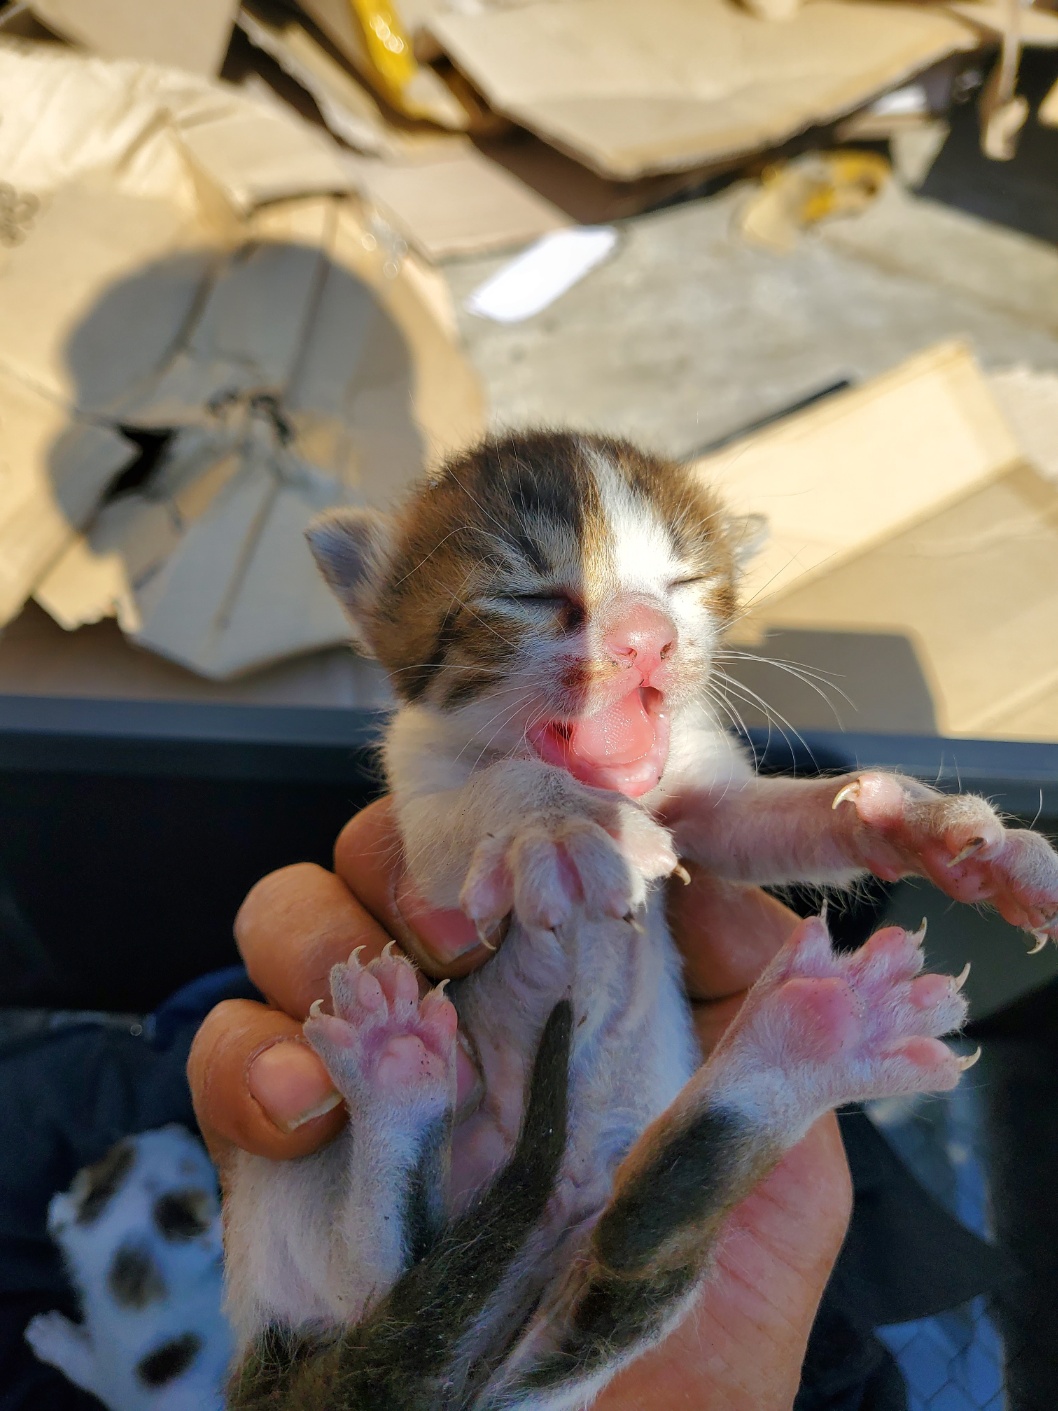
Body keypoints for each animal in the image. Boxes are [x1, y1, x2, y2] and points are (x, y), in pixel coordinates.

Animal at [224, 428, 1058, 1411]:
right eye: (531, 593)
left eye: (683, 583)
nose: (645, 636)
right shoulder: (422, 814)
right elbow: (493, 800)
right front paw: (560, 823)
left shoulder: (702, 798)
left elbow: (782, 821)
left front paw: (926, 825)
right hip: (290, 1202)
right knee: (380, 1278)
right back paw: (396, 1073)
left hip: (594, 1304)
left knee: (629, 1250)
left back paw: (817, 1038)